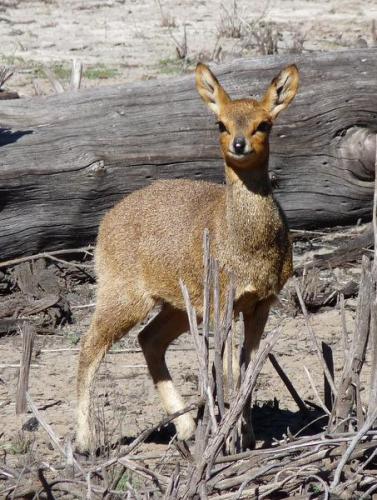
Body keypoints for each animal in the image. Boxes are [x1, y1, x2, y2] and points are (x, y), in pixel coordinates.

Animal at [75, 62, 300, 454]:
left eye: (264, 123)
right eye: (220, 123)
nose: (239, 144)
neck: (245, 243)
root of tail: (106, 223)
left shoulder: (262, 302)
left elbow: (248, 368)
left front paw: (246, 437)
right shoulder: (223, 301)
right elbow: (225, 370)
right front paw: (230, 438)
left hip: (178, 305)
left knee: (149, 340)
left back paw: (186, 428)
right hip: (123, 295)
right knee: (89, 349)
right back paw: (85, 443)